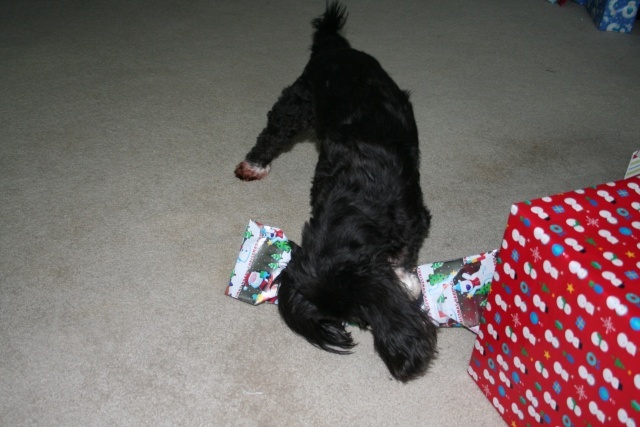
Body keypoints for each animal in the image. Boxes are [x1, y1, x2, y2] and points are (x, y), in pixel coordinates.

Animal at [235, 1, 440, 382]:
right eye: (356, 321)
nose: (355, 328)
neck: (354, 205)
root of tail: (335, 47)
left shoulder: (414, 216)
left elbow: (406, 252)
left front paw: (406, 279)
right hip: (298, 103)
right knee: (272, 134)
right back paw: (254, 164)